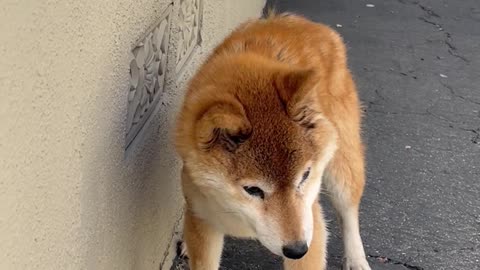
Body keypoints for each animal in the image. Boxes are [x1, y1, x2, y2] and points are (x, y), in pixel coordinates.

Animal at [174, 12, 370, 270]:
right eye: (252, 189)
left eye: (305, 176)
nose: (297, 249)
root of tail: (304, 23)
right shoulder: (202, 218)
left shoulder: (311, 224)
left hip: (342, 169)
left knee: (349, 213)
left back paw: (356, 259)